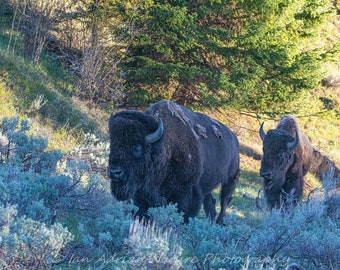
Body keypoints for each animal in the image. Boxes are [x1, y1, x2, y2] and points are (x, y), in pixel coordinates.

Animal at [108, 100, 239, 223]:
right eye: (113, 143)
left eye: (137, 147)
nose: (114, 172)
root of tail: (235, 139)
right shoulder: (142, 193)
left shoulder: (186, 193)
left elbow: (183, 212)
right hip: (207, 185)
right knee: (211, 202)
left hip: (231, 179)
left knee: (224, 201)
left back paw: (218, 222)